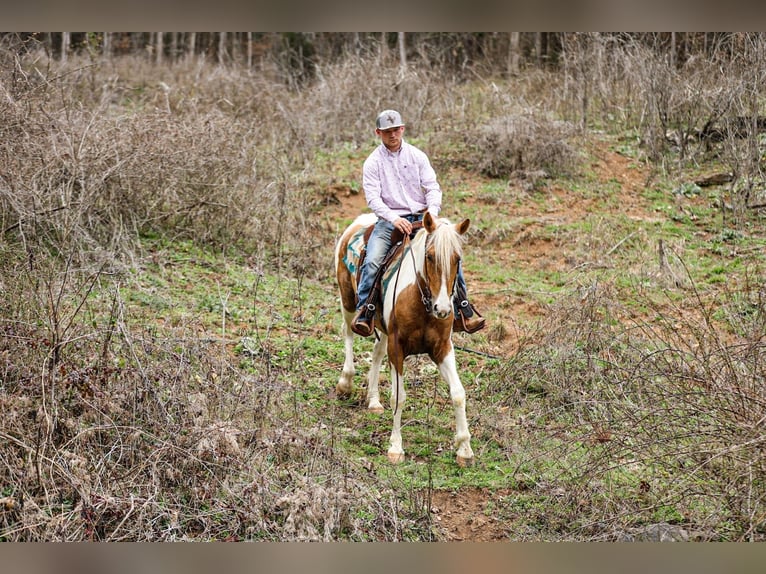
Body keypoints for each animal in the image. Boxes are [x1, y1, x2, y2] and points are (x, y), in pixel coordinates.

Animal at [334, 211, 475, 467]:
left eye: (457, 258)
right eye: (429, 256)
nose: (442, 309)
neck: (421, 302)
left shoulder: (442, 348)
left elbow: (458, 394)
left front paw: (465, 450)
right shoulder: (397, 347)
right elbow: (398, 397)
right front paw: (396, 448)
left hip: (382, 328)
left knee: (377, 352)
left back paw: (373, 400)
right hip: (348, 301)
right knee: (348, 332)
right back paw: (345, 383)